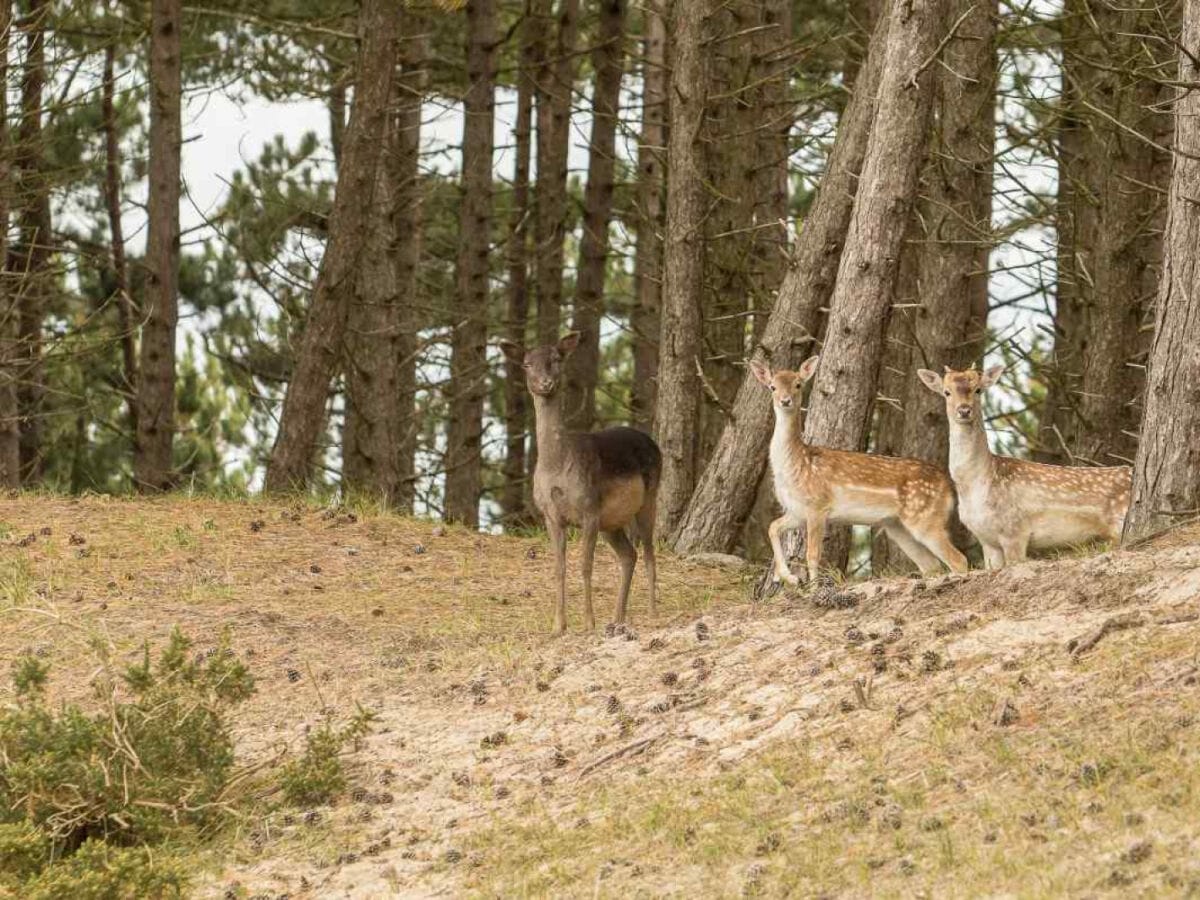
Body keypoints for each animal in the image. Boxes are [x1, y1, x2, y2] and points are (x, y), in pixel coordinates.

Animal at [499, 331, 662, 633]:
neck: (556, 467)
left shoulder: (589, 508)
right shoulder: (550, 514)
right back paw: (617, 617)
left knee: (648, 552)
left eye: (556, 359)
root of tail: (653, 443)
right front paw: (558, 626)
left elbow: (586, 565)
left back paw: (652, 613)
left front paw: (588, 622)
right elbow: (559, 567)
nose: (545, 383)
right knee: (629, 555)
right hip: (612, 522)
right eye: (527, 364)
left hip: (650, 497)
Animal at [753, 355, 969, 588]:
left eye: (798, 384)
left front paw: (813, 588)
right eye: (772, 386)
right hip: (897, 526)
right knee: (931, 564)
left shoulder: (818, 505)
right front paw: (789, 577)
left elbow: (812, 554)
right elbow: (773, 527)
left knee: (959, 559)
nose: (785, 401)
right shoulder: (796, 511)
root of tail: (949, 485)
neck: (796, 465)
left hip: (925, 516)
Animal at [921, 367, 1128, 571]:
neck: (978, 485)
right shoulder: (987, 539)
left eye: (978, 390)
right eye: (947, 392)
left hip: (1119, 523)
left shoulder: (1015, 530)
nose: (964, 410)